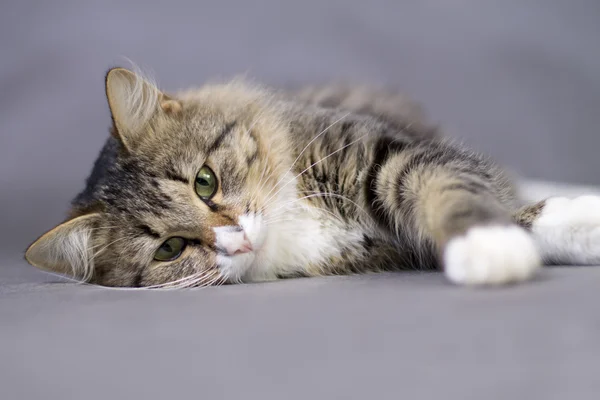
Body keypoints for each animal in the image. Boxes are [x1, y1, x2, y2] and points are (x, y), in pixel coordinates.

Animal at [24, 68, 600, 288]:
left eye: (204, 182)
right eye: (170, 249)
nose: (236, 239)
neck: (290, 218)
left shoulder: (387, 156)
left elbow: (457, 193)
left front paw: (491, 242)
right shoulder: (391, 247)